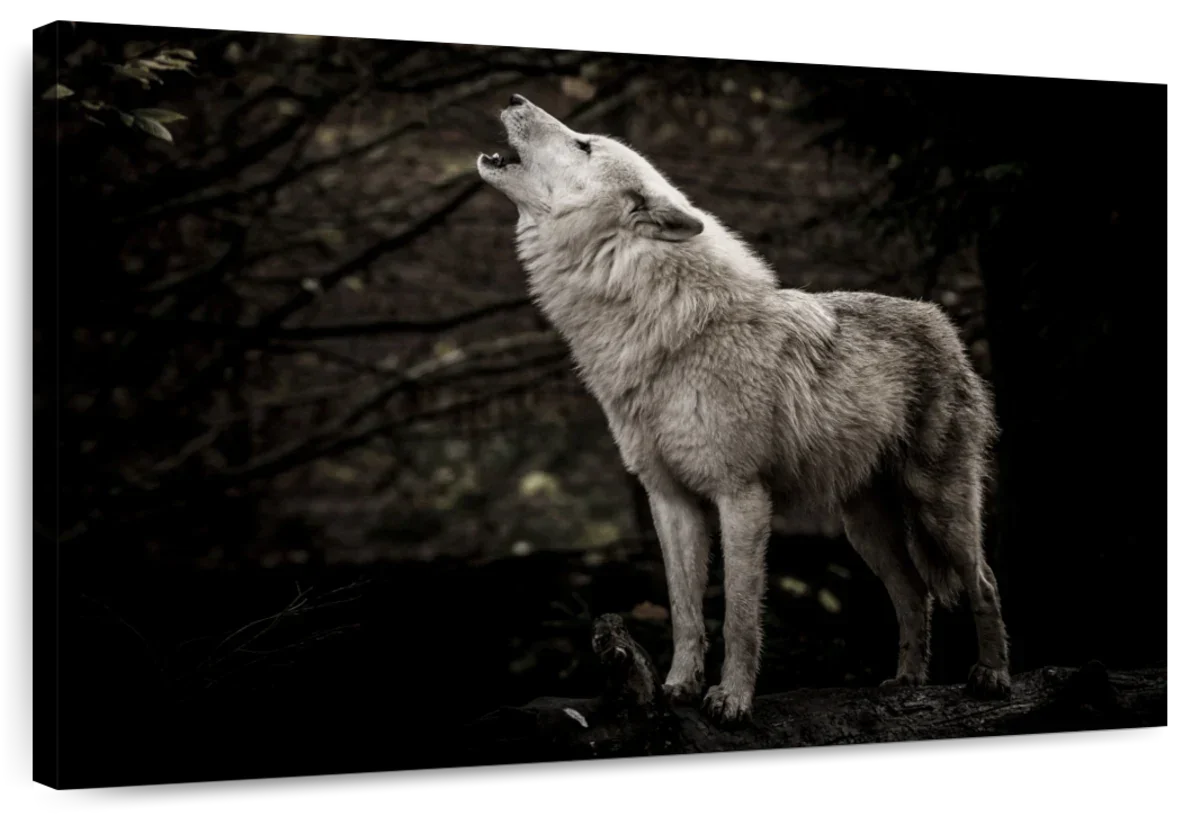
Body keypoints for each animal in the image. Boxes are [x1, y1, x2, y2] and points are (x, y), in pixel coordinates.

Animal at [478, 95, 1012, 725]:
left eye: (584, 144)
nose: (515, 99)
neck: (663, 330)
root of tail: (940, 321)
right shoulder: (670, 500)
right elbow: (685, 611)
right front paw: (677, 688)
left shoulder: (742, 496)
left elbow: (737, 614)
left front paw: (731, 700)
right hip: (863, 527)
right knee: (914, 592)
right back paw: (906, 681)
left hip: (939, 506)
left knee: (982, 580)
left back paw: (993, 676)